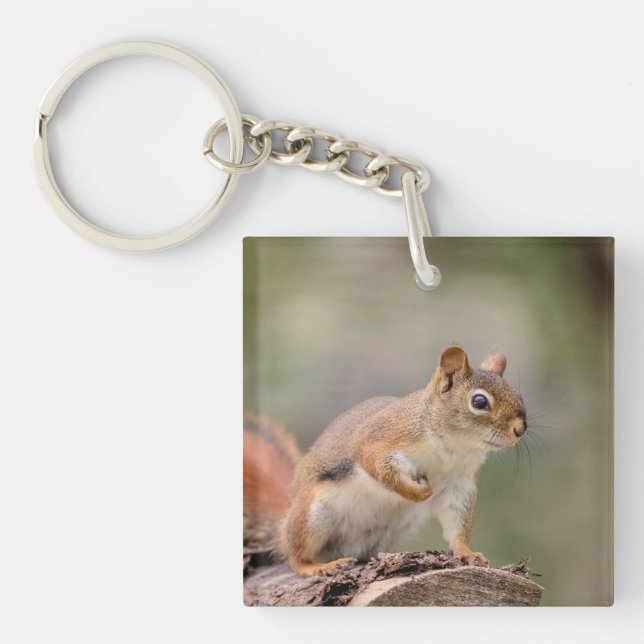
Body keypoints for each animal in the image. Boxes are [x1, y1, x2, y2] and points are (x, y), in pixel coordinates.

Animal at [244, 346, 527, 577]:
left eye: (518, 395)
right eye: (479, 401)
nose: (520, 429)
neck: (453, 446)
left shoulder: (458, 482)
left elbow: (456, 520)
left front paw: (466, 552)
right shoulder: (381, 439)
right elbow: (378, 467)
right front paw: (417, 492)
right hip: (313, 514)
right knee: (295, 556)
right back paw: (317, 566)